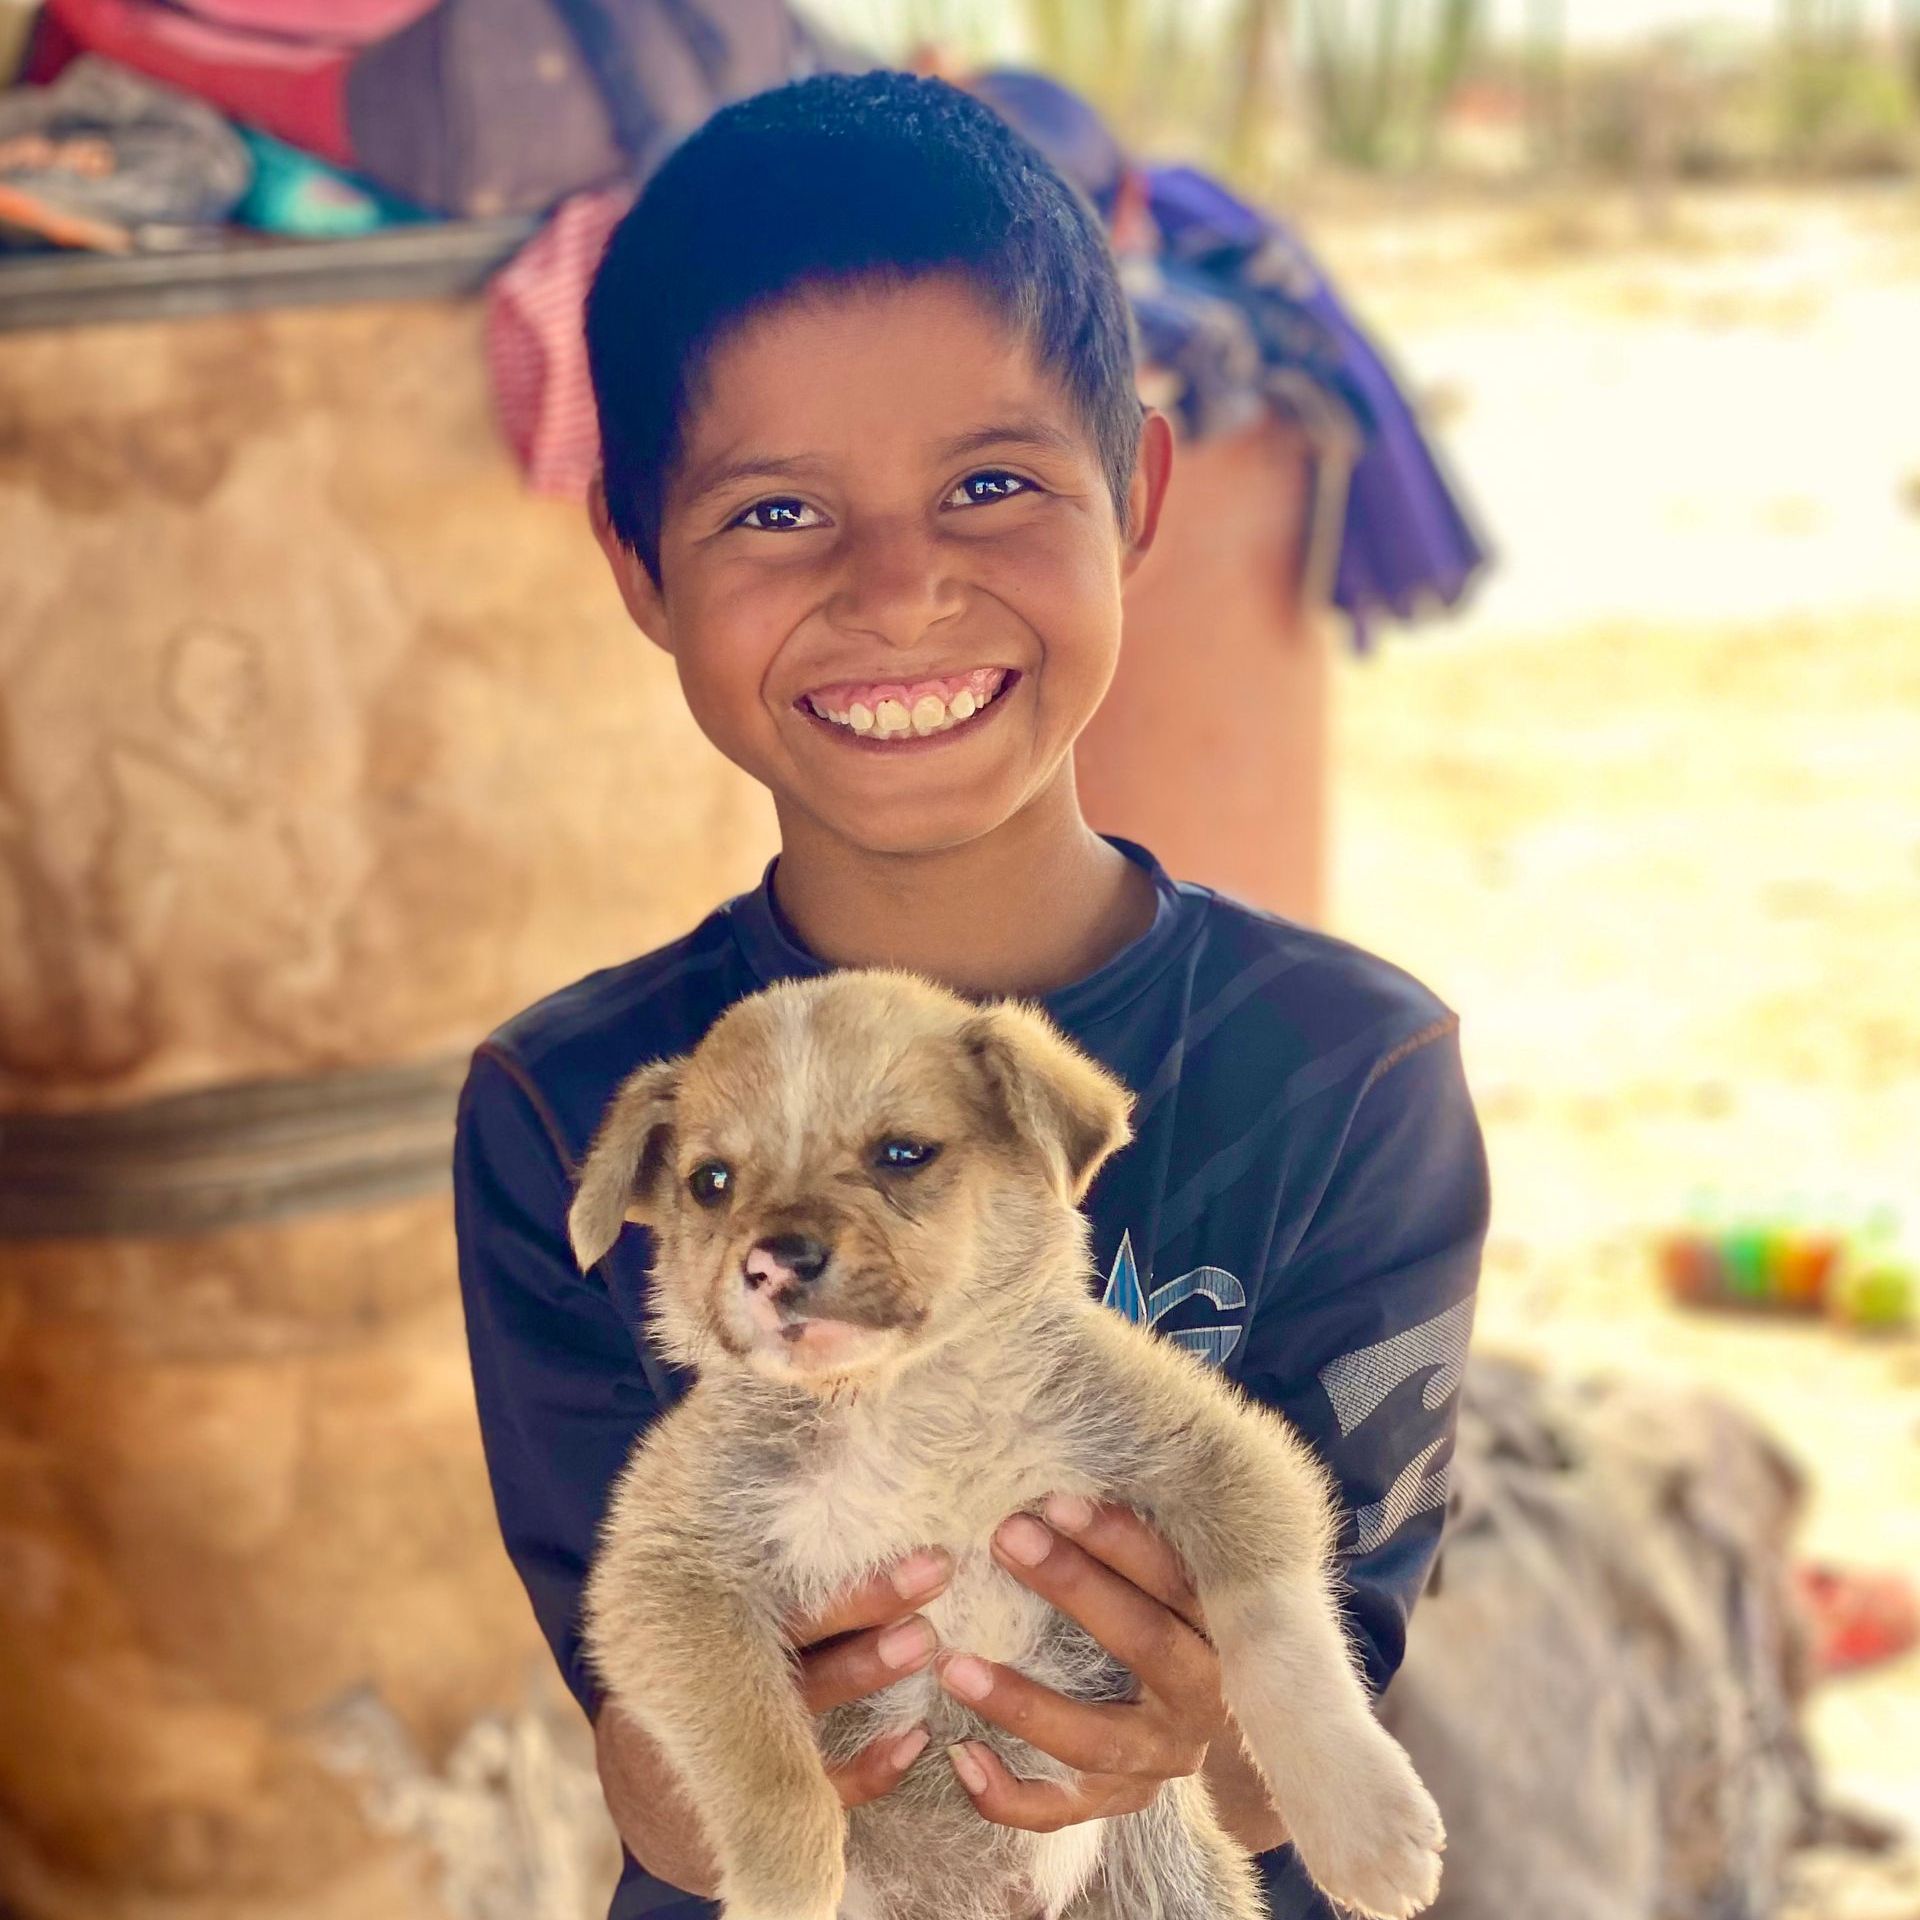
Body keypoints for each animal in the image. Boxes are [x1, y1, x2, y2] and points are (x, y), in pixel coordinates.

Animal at [564, 975, 1443, 1920]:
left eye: (902, 1153)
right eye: (710, 1183)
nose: (771, 1263)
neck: (901, 1406)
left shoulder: (1219, 1461)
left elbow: (1277, 1643)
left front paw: (1363, 1823)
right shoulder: (667, 1581)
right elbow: (769, 1769)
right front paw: (783, 1894)